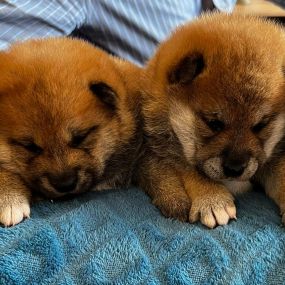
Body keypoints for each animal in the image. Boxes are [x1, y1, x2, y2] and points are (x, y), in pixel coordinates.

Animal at [139, 12, 285, 226]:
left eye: (261, 125)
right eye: (213, 124)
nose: (235, 168)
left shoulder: (271, 157)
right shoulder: (168, 150)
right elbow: (192, 170)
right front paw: (212, 200)